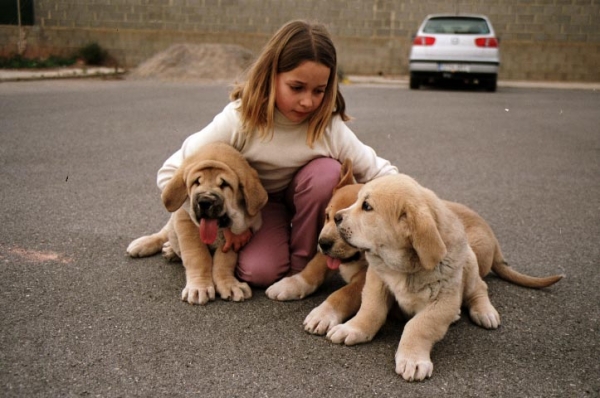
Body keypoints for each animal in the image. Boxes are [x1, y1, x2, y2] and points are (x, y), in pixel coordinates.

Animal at [127, 142, 268, 304]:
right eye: (197, 182)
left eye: (224, 184)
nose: (205, 201)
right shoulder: (185, 221)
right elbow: (197, 257)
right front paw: (199, 287)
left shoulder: (237, 233)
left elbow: (224, 261)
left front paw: (229, 284)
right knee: (165, 232)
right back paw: (146, 245)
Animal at [266, 160, 368, 334]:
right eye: (327, 216)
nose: (323, 243)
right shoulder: (324, 256)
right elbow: (312, 269)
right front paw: (291, 284)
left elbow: (344, 293)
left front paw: (324, 313)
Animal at [328, 174, 564, 382]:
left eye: (367, 207)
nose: (337, 217)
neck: (405, 268)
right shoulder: (376, 281)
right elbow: (371, 310)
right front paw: (353, 328)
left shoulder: (444, 301)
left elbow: (418, 325)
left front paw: (413, 358)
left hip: (469, 264)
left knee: (480, 287)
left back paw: (484, 311)